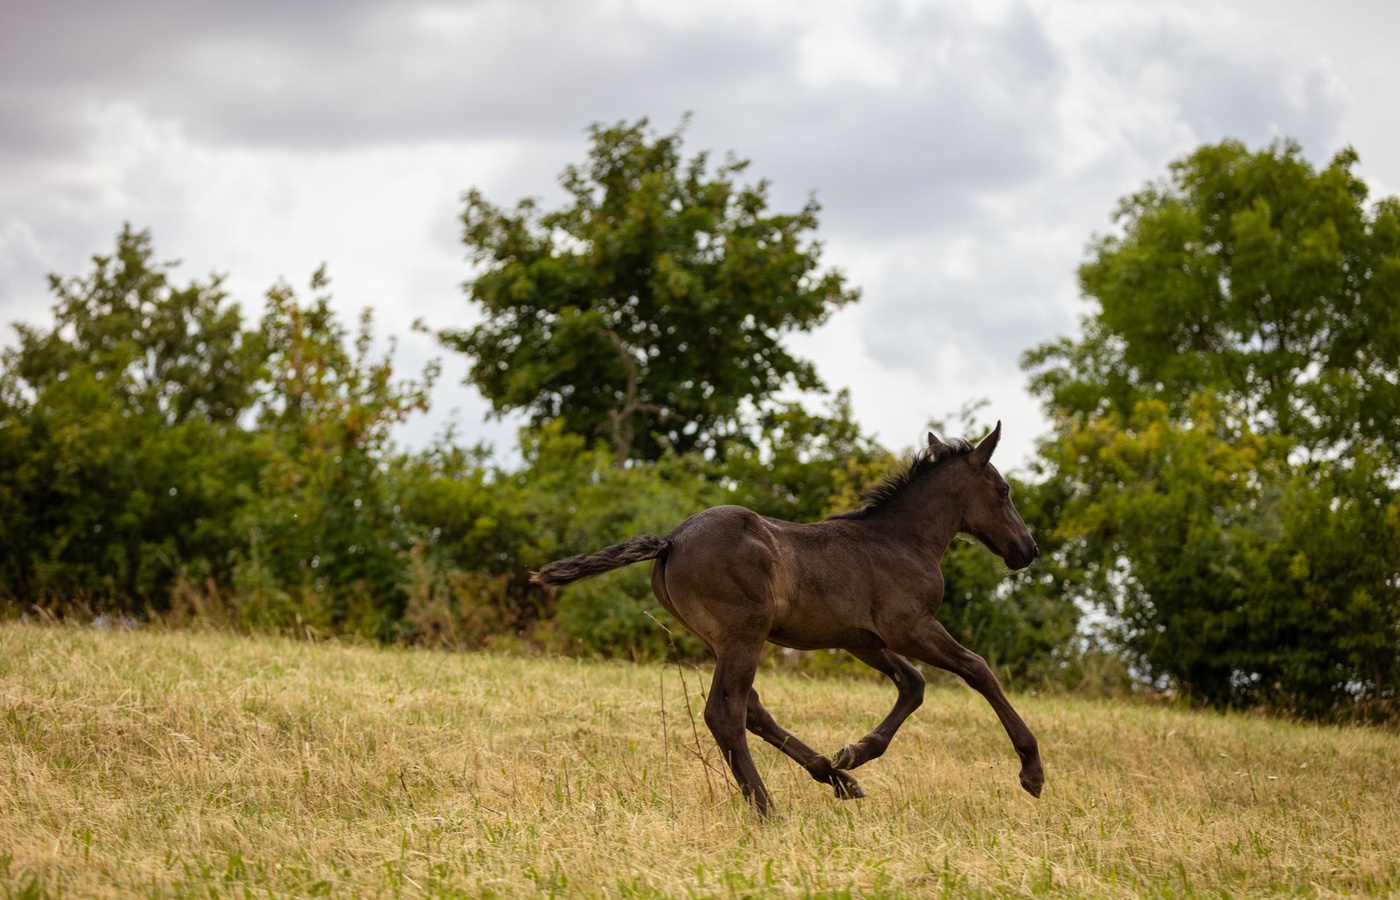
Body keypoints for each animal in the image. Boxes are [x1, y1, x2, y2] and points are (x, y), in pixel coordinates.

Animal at [530, 422, 1043, 816]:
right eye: (1004, 491)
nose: (1028, 550)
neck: (902, 540)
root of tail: (671, 541)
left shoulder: (863, 639)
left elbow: (913, 685)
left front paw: (853, 754)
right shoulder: (910, 627)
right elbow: (977, 669)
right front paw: (1032, 771)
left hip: (722, 640)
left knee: (751, 709)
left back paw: (834, 778)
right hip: (745, 634)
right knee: (726, 712)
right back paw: (767, 807)